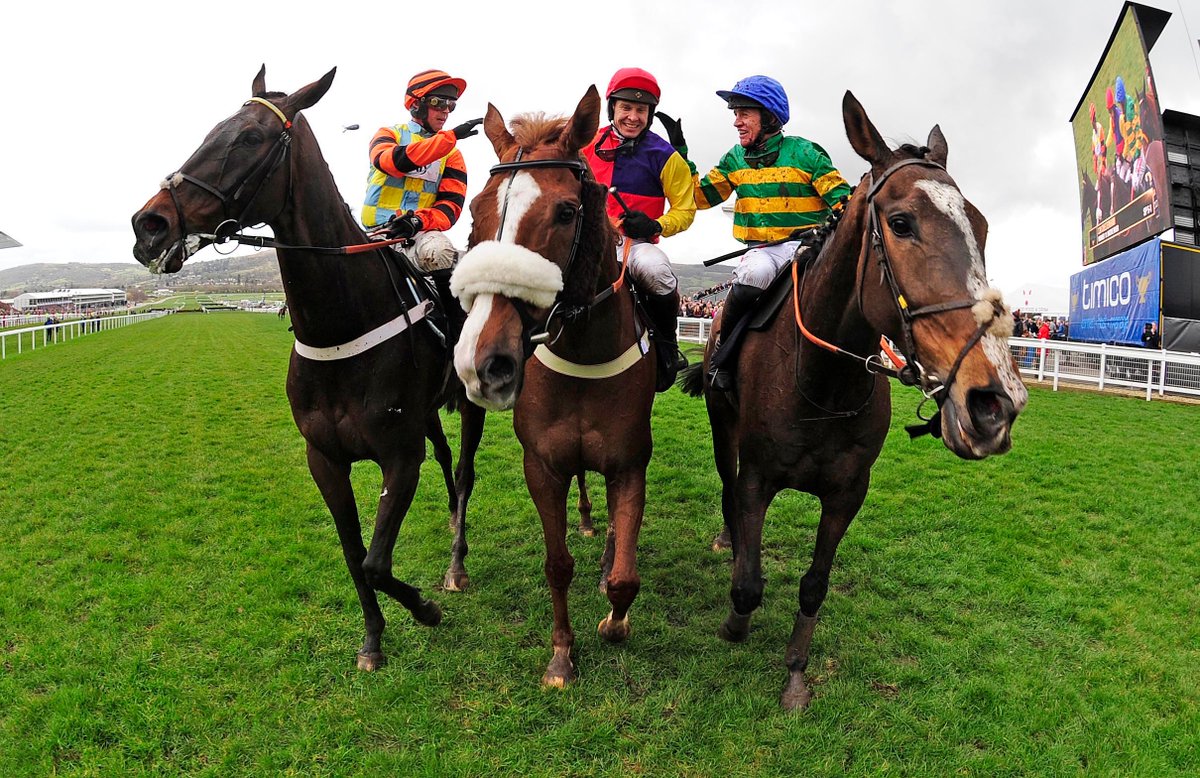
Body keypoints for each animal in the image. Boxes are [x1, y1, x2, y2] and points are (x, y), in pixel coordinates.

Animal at [130, 66, 485, 672]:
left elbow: (376, 562)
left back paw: (457, 563)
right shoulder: (324, 458)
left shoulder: (398, 455)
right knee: (444, 460)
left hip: (472, 403)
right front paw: (373, 639)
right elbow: (354, 554)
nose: (148, 225)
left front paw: (426, 609)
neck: (342, 331)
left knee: (463, 473)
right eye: (211, 129)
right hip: (427, 414)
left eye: (249, 137)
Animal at [450, 87, 657, 687]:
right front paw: (562, 654)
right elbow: (557, 563)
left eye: (566, 211)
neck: (583, 354)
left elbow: (626, 576)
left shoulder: (630, 461)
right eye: (475, 210)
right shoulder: (541, 463)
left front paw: (614, 621)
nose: (484, 362)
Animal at [680, 91, 1027, 710]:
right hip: (723, 427)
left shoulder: (848, 492)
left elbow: (814, 586)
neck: (821, 384)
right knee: (724, 485)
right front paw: (735, 624)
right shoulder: (758, 477)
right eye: (901, 223)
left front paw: (795, 673)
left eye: (981, 225)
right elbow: (748, 582)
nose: (995, 401)